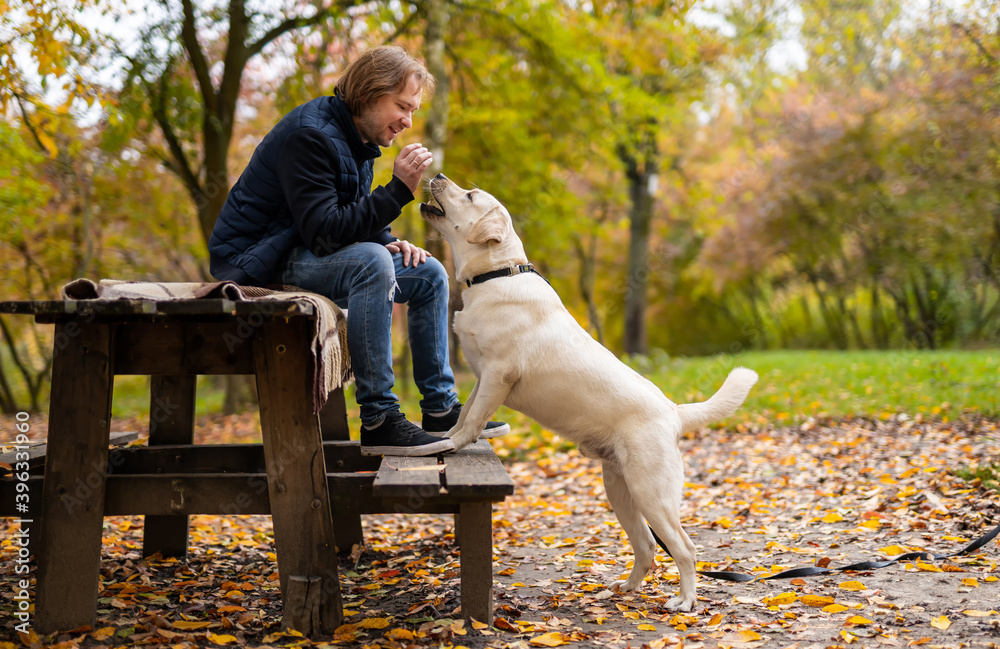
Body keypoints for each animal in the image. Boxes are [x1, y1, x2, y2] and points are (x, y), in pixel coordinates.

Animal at [418, 175, 752, 612]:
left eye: (470, 195)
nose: (438, 176)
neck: (496, 274)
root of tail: (674, 411)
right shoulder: (480, 378)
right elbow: (464, 413)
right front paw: (444, 439)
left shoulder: (497, 374)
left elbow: (472, 419)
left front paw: (453, 446)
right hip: (620, 490)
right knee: (647, 546)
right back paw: (625, 590)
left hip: (651, 493)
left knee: (684, 547)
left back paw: (684, 602)